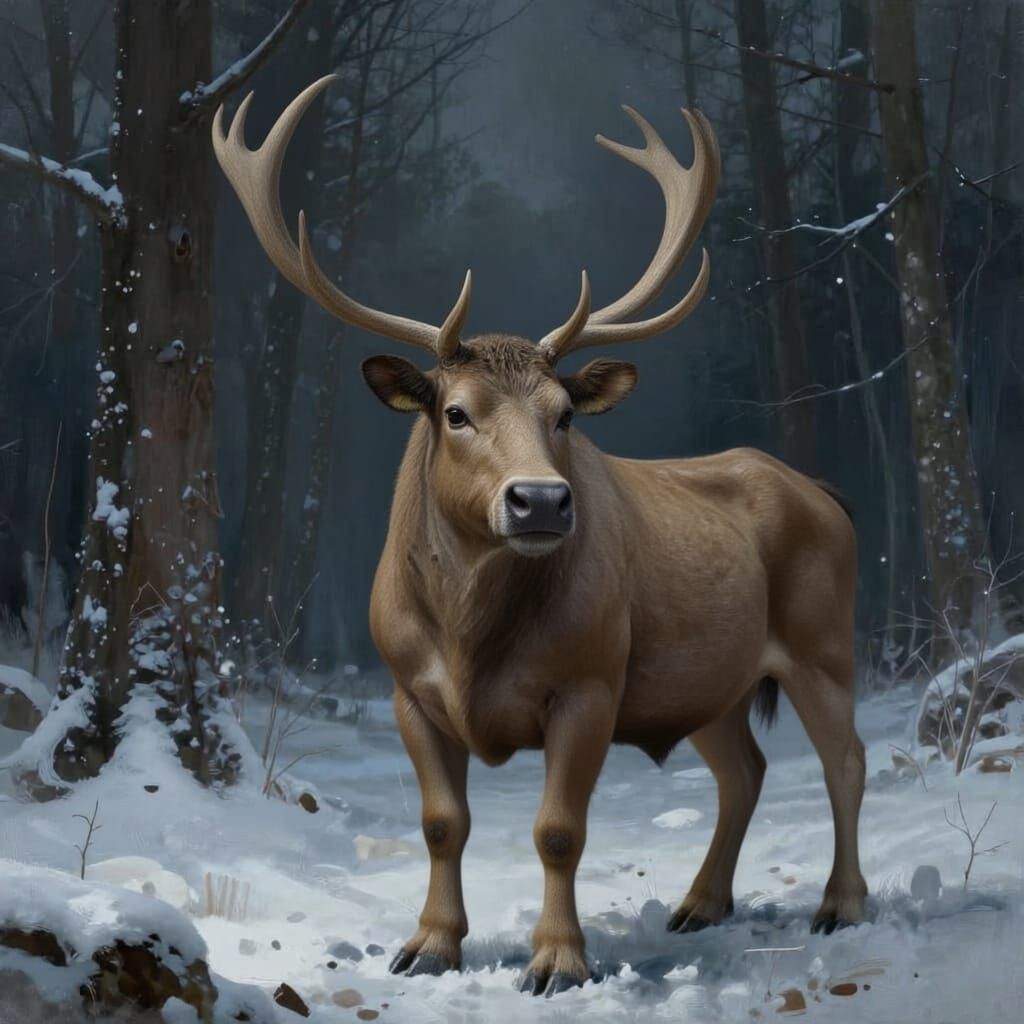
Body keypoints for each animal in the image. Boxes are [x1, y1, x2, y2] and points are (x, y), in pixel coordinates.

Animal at [213, 76, 867, 998]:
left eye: (564, 415)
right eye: (455, 412)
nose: (541, 502)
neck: (469, 633)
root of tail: (827, 495)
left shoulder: (590, 680)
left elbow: (559, 829)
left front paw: (557, 960)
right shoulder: (408, 688)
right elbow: (441, 822)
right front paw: (430, 946)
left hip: (823, 639)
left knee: (845, 759)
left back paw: (842, 904)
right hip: (712, 677)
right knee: (744, 770)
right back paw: (700, 905)